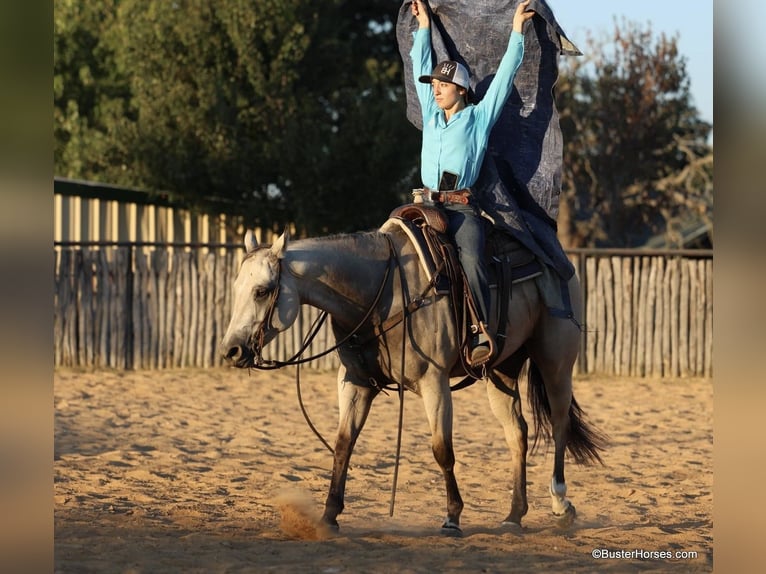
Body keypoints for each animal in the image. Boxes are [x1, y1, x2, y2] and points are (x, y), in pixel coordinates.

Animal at [219, 225, 608, 536]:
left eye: (262, 290)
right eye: (236, 287)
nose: (231, 350)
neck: (381, 294)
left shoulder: (434, 382)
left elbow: (442, 450)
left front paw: (452, 518)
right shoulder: (356, 383)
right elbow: (344, 443)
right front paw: (329, 516)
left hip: (556, 362)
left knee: (559, 425)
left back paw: (560, 504)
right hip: (502, 370)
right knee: (518, 434)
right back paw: (514, 515)